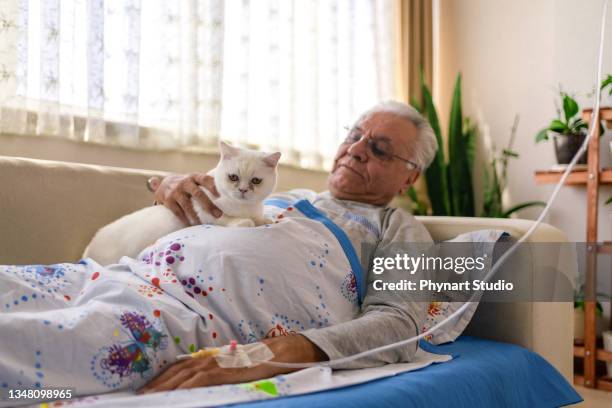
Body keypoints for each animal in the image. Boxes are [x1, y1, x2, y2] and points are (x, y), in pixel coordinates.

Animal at [83, 142, 280, 266]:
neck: (244, 206)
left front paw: (264, 220)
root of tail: (88, 249)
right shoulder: (204, 210)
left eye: (256, 181)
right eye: (233, 177)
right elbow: (226, 217)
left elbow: (258, 217)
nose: (243, 190)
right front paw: (244, 221)